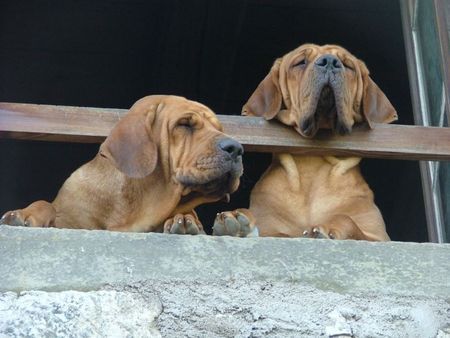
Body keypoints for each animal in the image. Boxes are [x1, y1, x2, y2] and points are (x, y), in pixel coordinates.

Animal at [0, 93, 243, 234]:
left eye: (219, 128)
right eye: (184, 124)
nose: (237, 148)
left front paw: (183, 219)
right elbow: (46, 204)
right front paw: (25, 213)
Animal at [214, 44, 398, 240]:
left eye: (348, 66)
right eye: (300, 62)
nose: (330, 62)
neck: (313, 165)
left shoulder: (378, 237)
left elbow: (346, 218)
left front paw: (328, 227)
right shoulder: (272, 226)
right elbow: (279, 233)